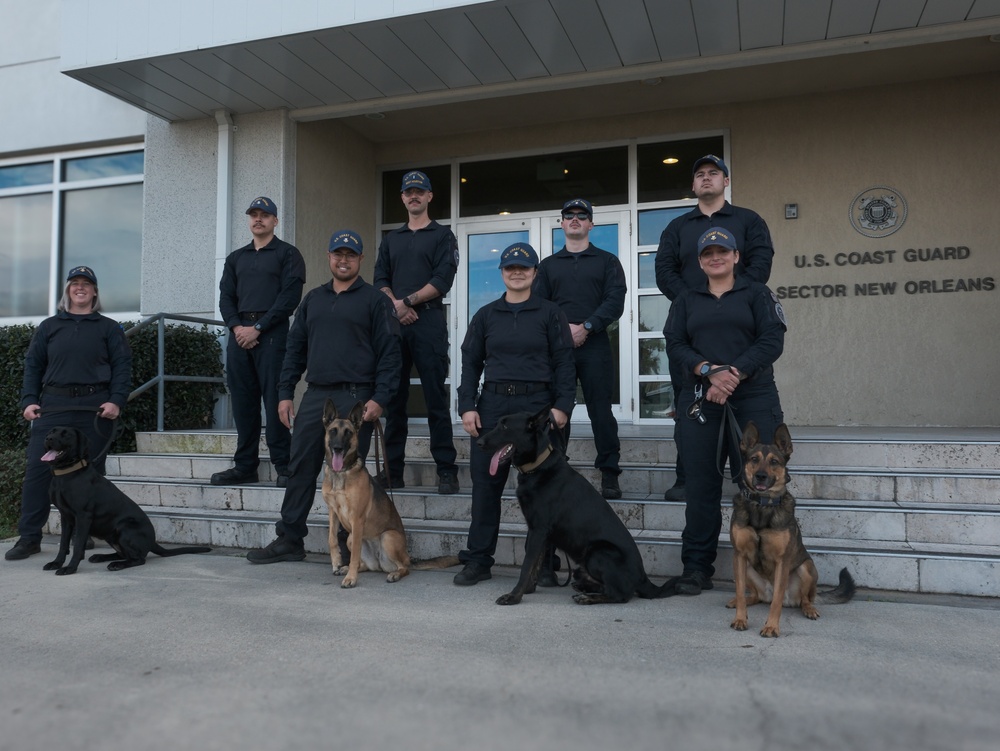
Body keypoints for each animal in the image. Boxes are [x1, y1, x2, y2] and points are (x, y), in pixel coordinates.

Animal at [40, 428, 211, 576]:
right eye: (50, 432)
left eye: (66, 434)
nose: (48, 438)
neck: (66, 475)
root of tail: (152, 541)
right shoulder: (65, 517)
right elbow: (63, 544)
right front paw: (56, 563)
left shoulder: (83, 516)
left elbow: (77, 547)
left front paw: (70, 568)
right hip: (111, 535)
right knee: (123, 554)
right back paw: (101, 557)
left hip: (124, 527)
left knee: (138, 559)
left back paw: (117, 565)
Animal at [322, 402, 458, 592]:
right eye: (333, 431)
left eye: (348, 432)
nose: (337, 448)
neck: (342, 472)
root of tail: (380, 564)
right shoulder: (333, 512)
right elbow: (331, 539)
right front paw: (337, 563)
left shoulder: (356, 519)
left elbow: (354, 554)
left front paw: (351, 579)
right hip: (351, 537)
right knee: (363, 564)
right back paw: (347, 568)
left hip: (388, 537)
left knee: (404, 568)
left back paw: (394, 574)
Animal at [478, 408, 676, 608]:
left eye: (505, 426)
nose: (478, 442)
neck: (538, 466)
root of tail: (643, 579)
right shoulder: (540, 534)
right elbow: (536, 564)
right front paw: (527, 589)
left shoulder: (538, 531)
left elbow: (527, 566)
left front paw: (514, 596)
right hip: (581, 566)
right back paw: (583, 587)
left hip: (597, 552)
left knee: (619, 595)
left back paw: (587, 597)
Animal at [728, 424, 860, 636]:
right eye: (754, 459)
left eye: (774, 461)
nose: (760, 476)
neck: (762, 505)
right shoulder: (739, 555)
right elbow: (740, 592)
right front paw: (740, 619)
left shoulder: (783, 560)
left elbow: (776, 601)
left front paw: (772, 626)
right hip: (747, 567)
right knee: (755, 595)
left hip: (806, 567)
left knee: (803, 598)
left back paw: (809, 609)